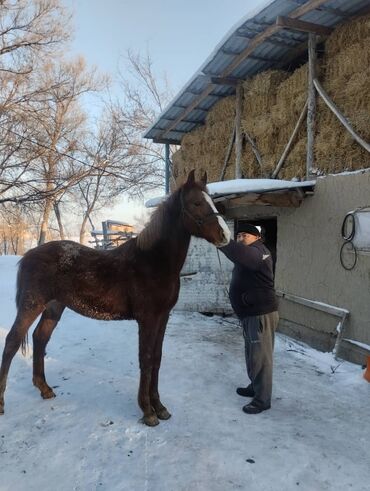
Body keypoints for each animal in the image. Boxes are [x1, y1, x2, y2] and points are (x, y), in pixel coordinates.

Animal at [0, 169, 230, 426]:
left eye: (211, 201)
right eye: (197, 203)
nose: (225, 235)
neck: (153, 261)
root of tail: (29, 255)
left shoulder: (163, 317)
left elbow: (157, 358)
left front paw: (160, 407)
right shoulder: (148, 319)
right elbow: (146, 358)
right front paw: (148, 411)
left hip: (54, 307)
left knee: (40, 338)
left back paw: (45, 388)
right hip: (31, 305)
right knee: (12, 341)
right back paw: (2, 402)